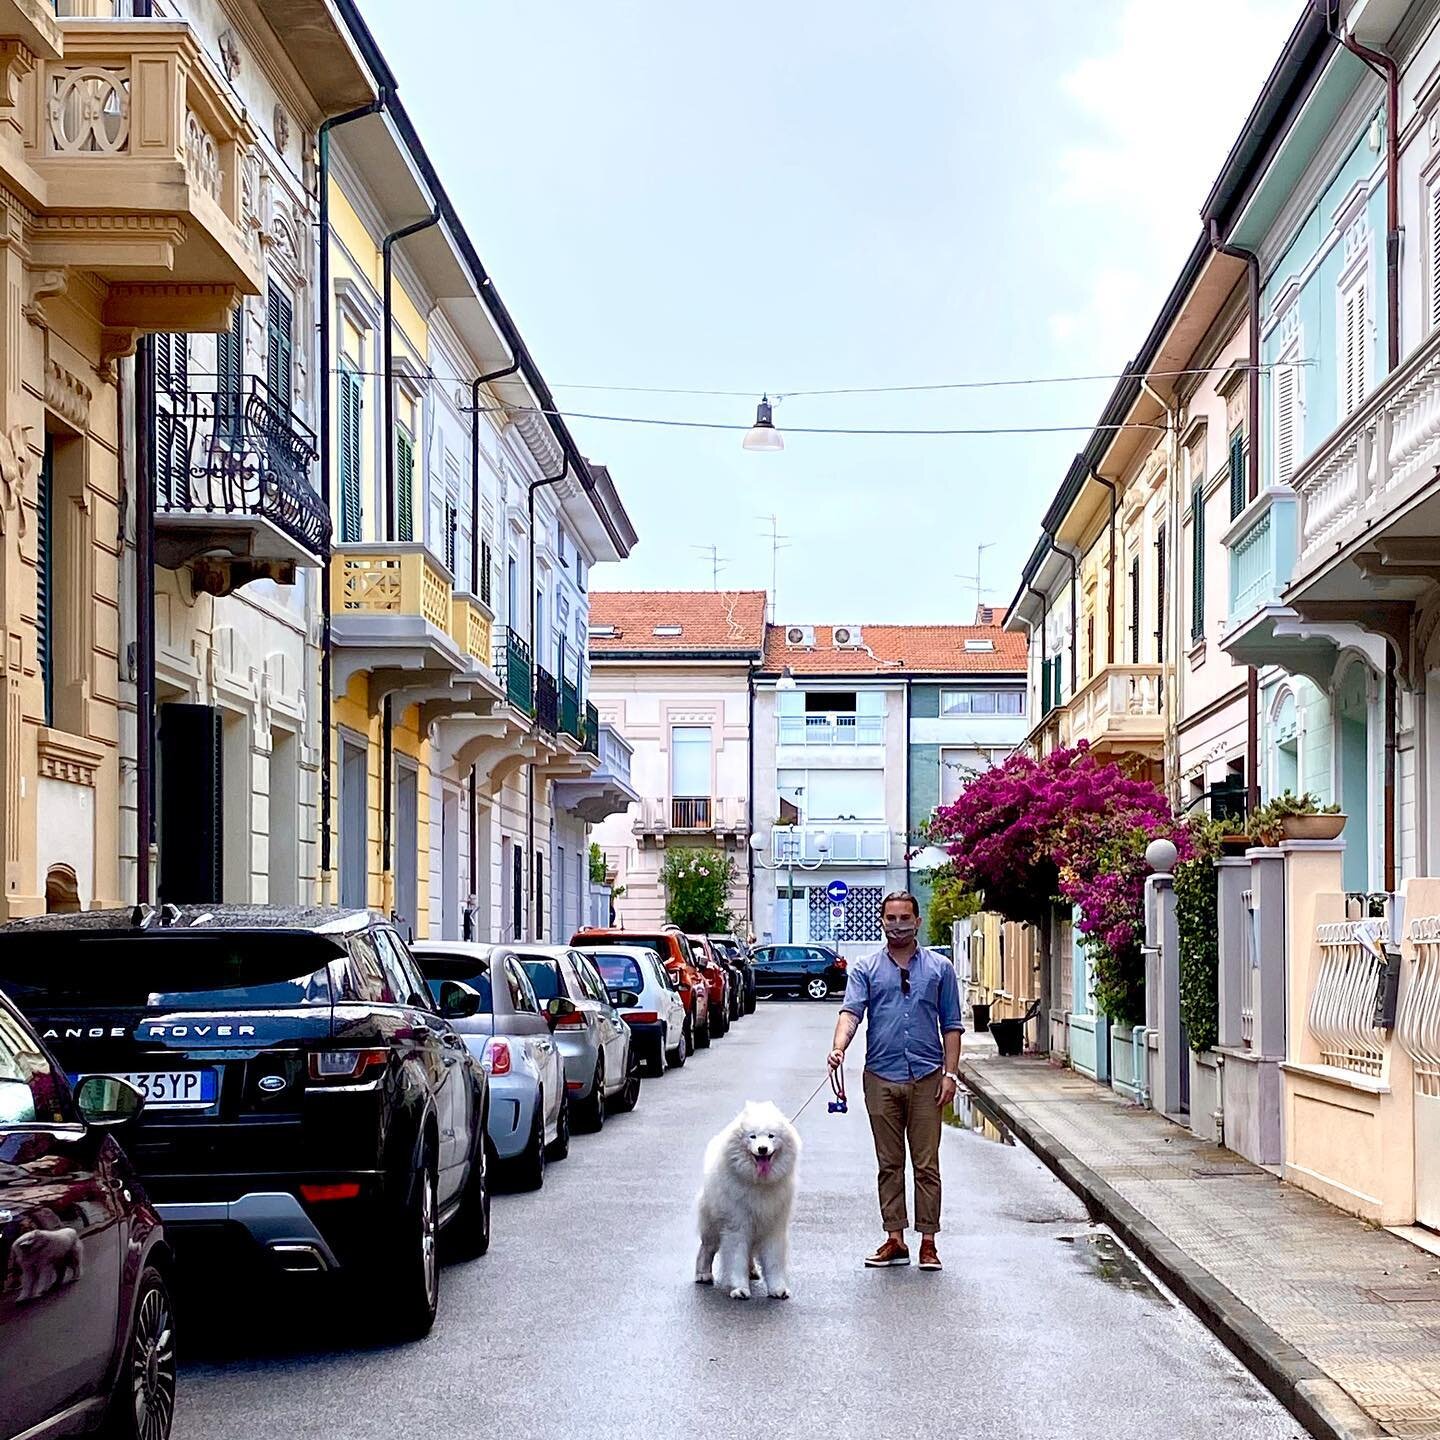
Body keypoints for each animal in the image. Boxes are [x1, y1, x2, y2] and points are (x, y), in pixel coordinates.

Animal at [694, 1100, 800, 1307]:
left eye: (771, 1136)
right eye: (753, 1136)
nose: (762, 1149)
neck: (759, 1183)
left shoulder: (773, 1228)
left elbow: (773, 1262)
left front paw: (777, 1289)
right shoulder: (737, 1227)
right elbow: (736, 1259)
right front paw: (740, 1289)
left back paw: (751, 1271)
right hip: (712, 1227)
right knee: (706, 1249)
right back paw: (703, 1274)